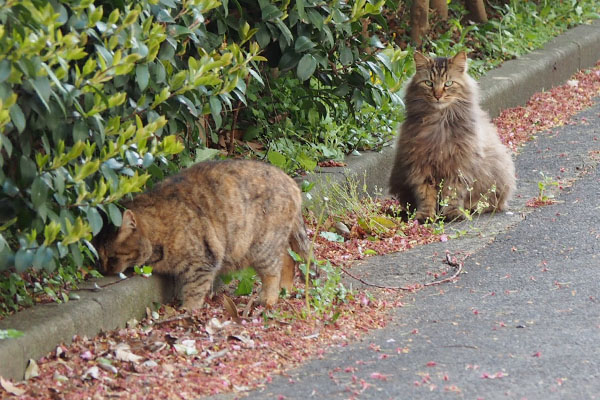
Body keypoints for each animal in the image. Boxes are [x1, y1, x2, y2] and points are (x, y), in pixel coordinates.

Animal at [95, 159, 310, 310]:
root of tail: (290, 181)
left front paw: (187, 309)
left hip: (262, 246)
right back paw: (285, 288)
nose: (104, 271)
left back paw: (269, 298)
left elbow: (194, 288)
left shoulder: (203, 260)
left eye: (112, 258)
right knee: (288, 258)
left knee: (273, 270)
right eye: (99, 258)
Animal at [390, 51, 516, 220]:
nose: (437, 95)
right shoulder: (420, 165)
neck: (439, 122)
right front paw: (425, 215)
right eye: (428, 83)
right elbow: (425, 194)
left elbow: (452, 193)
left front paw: (452, 213)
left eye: (448, 83)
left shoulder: (458, 166)